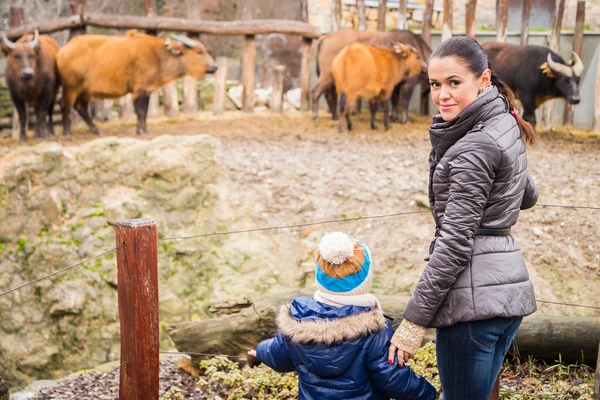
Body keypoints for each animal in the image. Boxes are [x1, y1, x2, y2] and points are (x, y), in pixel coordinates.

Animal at [56, 30, 218, 136]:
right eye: (198, 52)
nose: (215, 66)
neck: (158, 57)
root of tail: (63, 51)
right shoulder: (139, 90)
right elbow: (140, 110)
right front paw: (141, 131)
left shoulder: (147, 90)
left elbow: (144, 110)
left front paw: (143, 129)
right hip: (71, 87)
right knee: (66, 105)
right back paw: (67, 131)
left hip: (84, 90)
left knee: (80, 107)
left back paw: (96, 130)